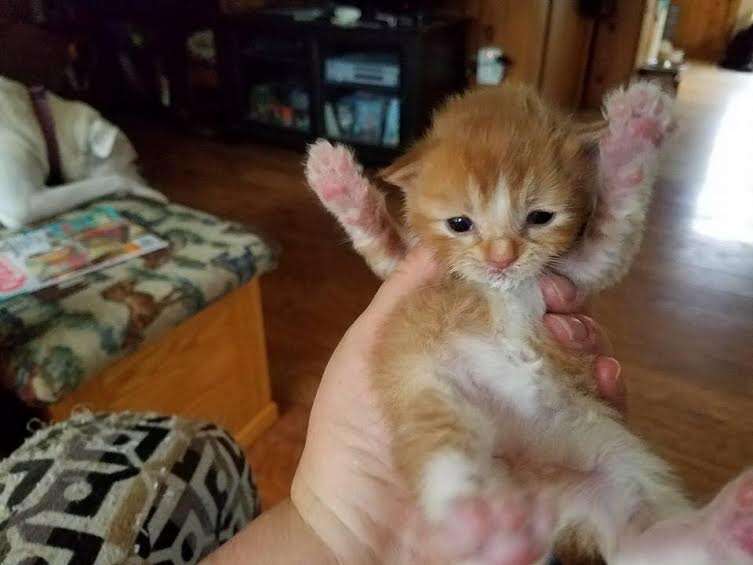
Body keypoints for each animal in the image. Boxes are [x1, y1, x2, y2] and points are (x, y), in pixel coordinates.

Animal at [304, 83, 752, 564]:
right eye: (459, 223)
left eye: (540, 217)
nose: (501, 258)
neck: (504, 289)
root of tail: (542, 499)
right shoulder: (405, 270)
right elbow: (380, 243)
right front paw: (336, 180)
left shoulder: (585, 269)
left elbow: (617, 219)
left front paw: (635, 134)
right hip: (428, 391)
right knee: (446, 456)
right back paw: (485, 519)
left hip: (619, 468)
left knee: (652, 544)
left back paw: (730, 524)